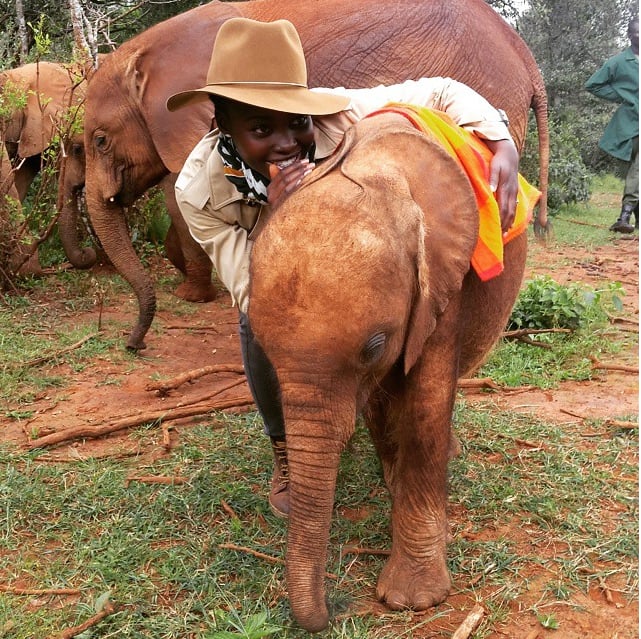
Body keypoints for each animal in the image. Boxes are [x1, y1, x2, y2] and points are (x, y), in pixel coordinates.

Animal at [82, 0, 548, 352]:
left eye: (100, 141)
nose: (135, 345)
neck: (143, 52)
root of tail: (528, 59)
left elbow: (173, 199)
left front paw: (190, 295)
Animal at [248, 112, 528, 632]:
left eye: (373, 347)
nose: (330, 613)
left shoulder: (443, 276)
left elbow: (425, 402)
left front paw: (413, 600)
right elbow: (380, 401)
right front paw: (393, 484)